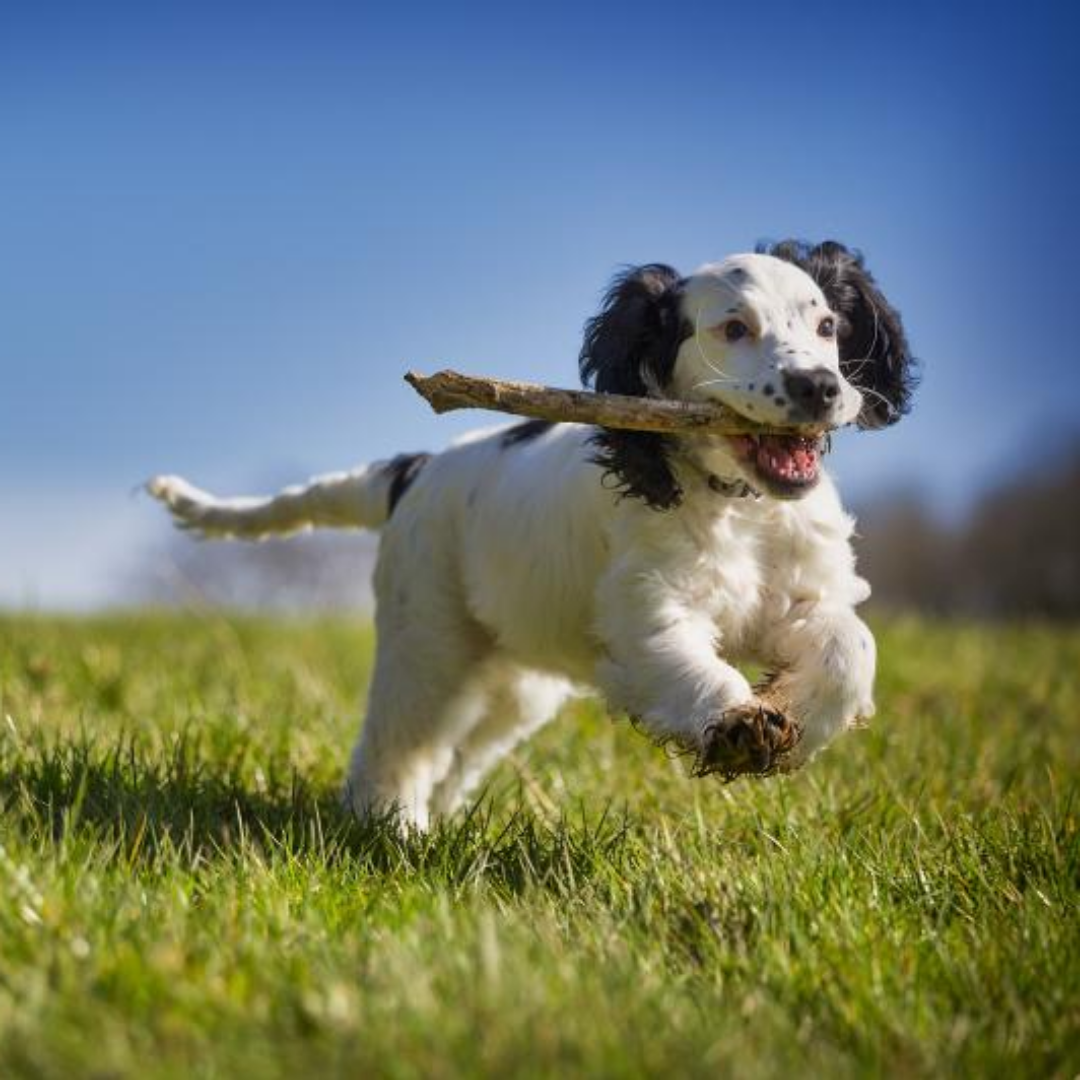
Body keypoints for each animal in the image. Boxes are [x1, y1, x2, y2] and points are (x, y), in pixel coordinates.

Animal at [150, 238, 911, 825]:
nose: (819, 388)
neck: (739, 505)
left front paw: (792, 719)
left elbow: (853, 648)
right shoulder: (646, 610)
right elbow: (687, 662)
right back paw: (389, 827)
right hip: (428, 639)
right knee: (397, 744)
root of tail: (415, 469)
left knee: (458, 754)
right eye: (733, 329)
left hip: (515, 683)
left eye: (826, 327)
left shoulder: (806, 595)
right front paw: (737, 725)